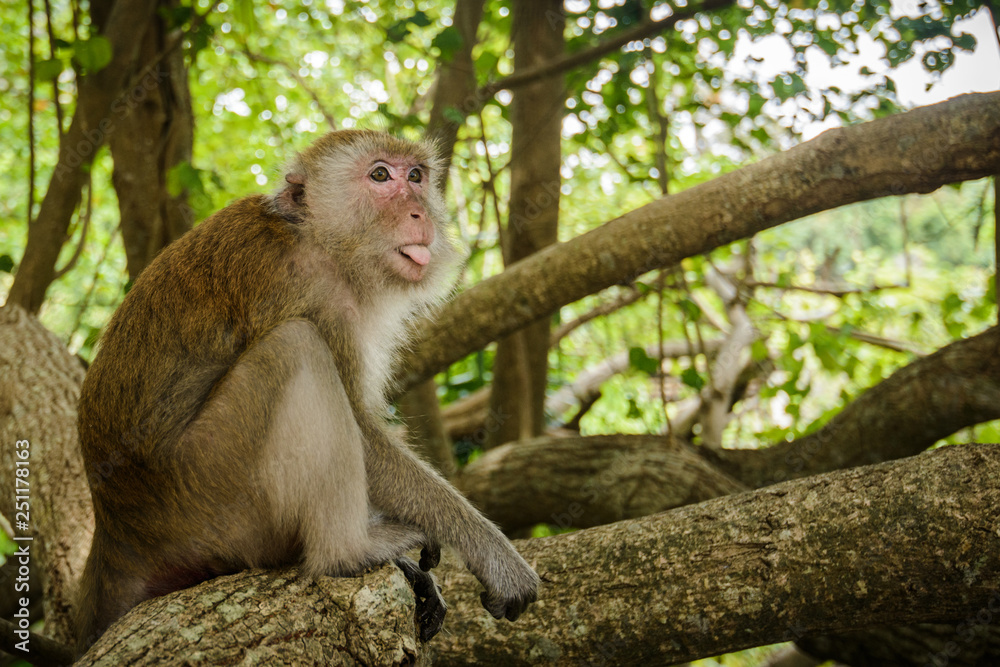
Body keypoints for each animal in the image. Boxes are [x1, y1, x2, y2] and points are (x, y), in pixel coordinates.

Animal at [74, 129, 539, 652]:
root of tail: (115, 535)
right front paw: (496, 557)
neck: (317, 236)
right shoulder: (316, 292)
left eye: (417, 176)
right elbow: (364, 435)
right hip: (208, 493)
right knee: (297, 346)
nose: (419, 213)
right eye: (381, 175)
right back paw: (348, 552)